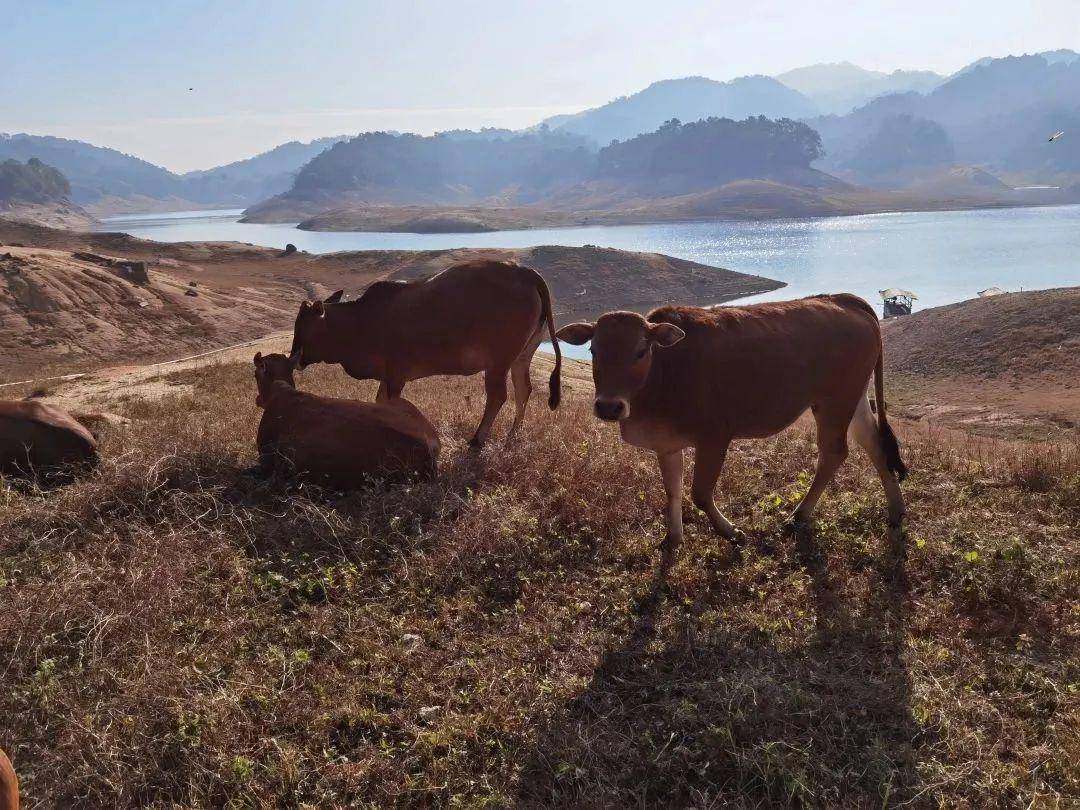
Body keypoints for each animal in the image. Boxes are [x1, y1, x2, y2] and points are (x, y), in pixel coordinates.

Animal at [287, 261, 565, 447]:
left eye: (303, 326)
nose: (294, 358)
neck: (360, 321)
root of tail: (525, 272)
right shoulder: (387, 376)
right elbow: (380, 401)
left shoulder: (396, 375)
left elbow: (390, 403)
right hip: (522, 356)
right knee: (523, 390)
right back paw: (513, 435)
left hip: (498, 361)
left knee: (498, 396)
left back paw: (477, 440)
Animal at [561, 295, 907, 557]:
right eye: (593, 350)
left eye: (640, 351)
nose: (608, 406)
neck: (666, 371)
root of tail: (842, 299)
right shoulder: (666, 444)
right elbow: (673, 491)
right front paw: (673, 538)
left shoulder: (715, 438)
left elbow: (700, 494)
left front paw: (731, 532)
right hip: (855, 399)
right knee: (873, 444)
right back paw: (896, 509)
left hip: (834, 402)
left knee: (834, 453)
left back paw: (799, 515)